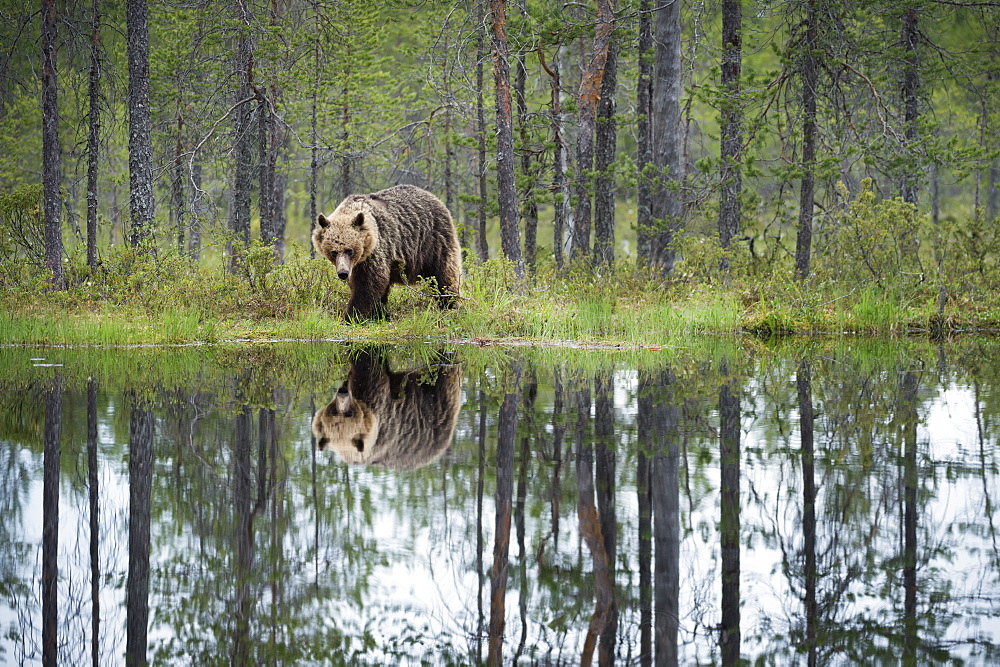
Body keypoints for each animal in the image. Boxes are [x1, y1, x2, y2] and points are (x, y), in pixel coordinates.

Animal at [310, 348, 462, 472]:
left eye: (349, 413)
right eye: (333, 411)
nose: (343, 393)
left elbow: (368, 362)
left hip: (435, 402)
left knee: (443, 370)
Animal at [312, 185, 460, 320]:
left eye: (350, 250)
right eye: (333, 252)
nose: (343, 273)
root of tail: (434, 197)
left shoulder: (376, 250)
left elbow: (369, 283)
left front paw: (351, 316)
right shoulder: (360, 263)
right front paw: (378, 313)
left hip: (434, 242)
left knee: (444, 275)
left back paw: (450, 305)